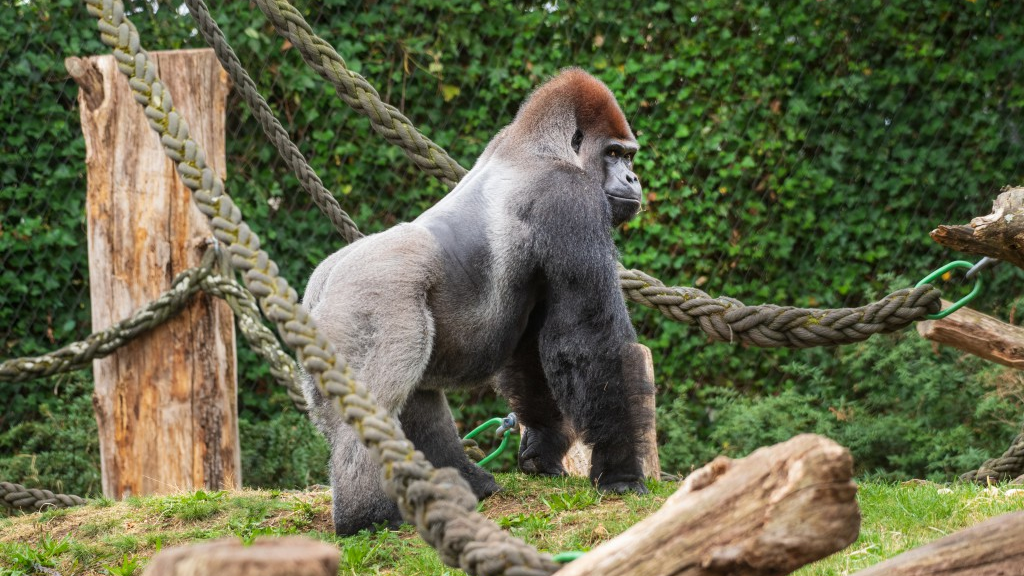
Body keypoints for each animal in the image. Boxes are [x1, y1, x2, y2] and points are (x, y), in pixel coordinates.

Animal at [302, 67, 653, 535]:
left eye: (629, 157)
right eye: (614, 154)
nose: (633, 180)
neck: (540, 144)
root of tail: (319, 287)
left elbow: (532, 355)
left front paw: (542, 448)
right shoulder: (572, 199)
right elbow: (586, 341)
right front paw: (620, 472)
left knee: (413, 394)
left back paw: (464, 481)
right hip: (371, 300)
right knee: (376, 399)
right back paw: (367, 516)